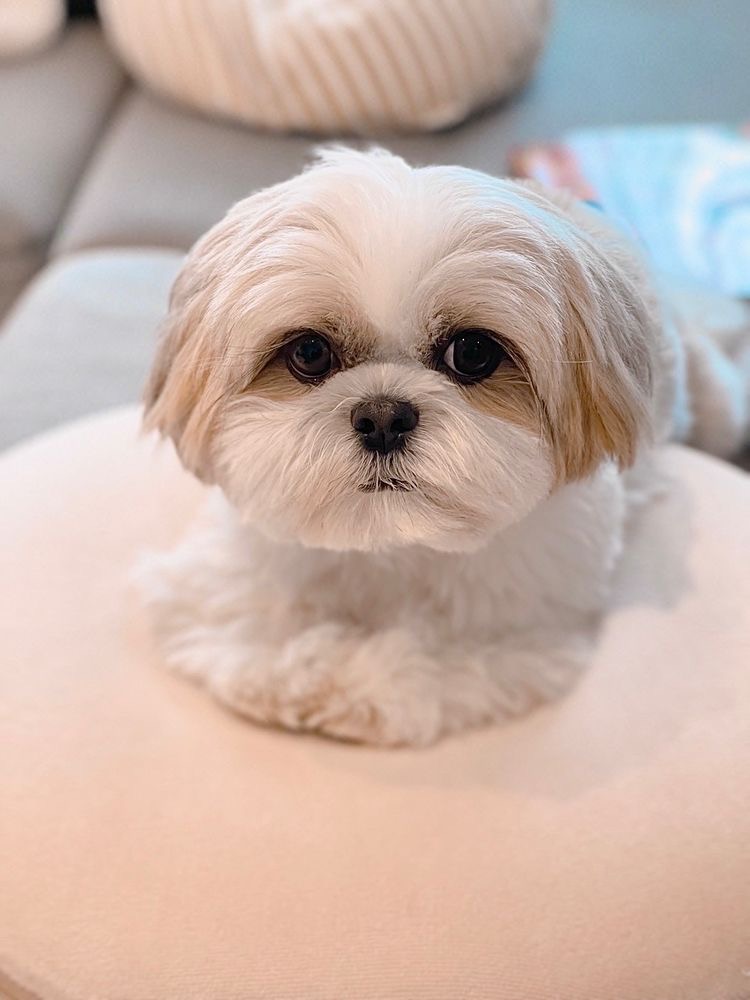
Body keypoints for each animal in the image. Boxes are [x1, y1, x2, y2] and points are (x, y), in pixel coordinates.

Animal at [137, 146, 750, 744]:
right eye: (309, 353)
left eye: (473, 353)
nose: (383, 416)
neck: (393, 546)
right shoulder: (225, 582)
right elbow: (255, 637)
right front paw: (303, 668)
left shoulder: (515, 636)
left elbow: (419, 665)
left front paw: (347, 684)